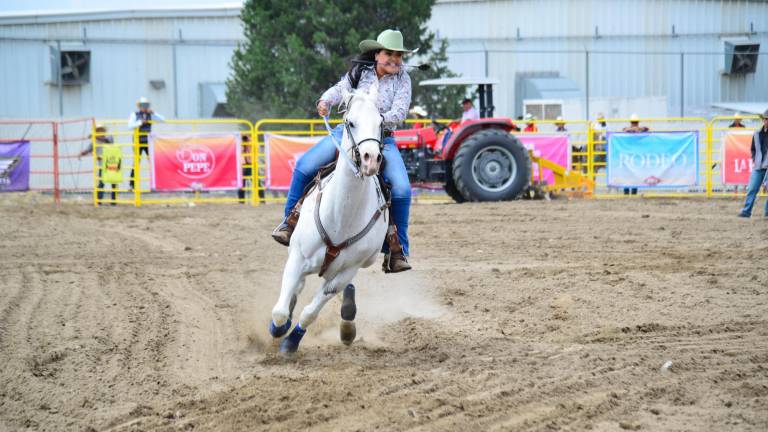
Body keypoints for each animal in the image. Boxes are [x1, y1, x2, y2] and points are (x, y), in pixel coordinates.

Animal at [270, 85, 390, 354]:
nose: (370, 159)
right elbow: (281, 310)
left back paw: (347, 326)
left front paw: (291, 343)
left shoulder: (346, 271)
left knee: (342, 293)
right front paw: (278, 329)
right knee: (297, 290)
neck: (340, 218)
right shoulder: (297, 257)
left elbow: (309, 313)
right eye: (350, 122)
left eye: (381, 122)